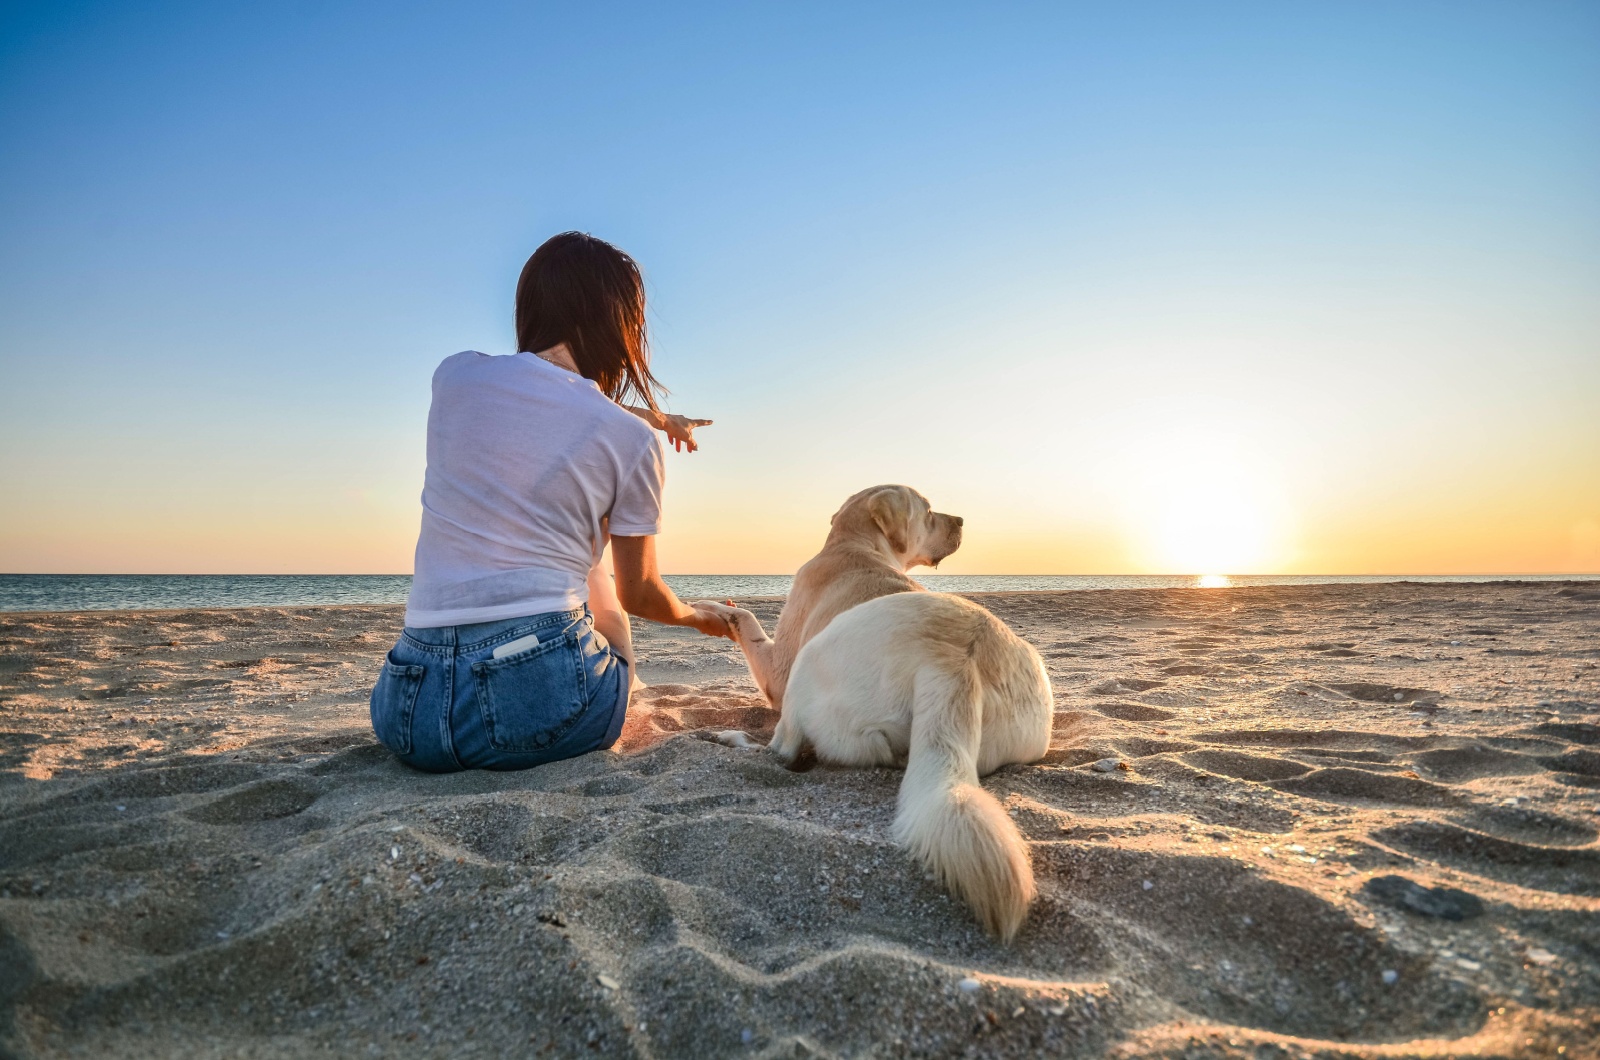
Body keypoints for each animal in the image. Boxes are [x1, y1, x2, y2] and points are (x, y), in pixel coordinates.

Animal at [697, 486, 1049, 941]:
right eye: (930, 512)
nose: (961, 521)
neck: (856, 544)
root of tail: (955, 664)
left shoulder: (778, 669)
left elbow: (745, 616)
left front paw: (711, 607)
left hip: (809, 668)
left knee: (783, 749)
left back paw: (728, 738)